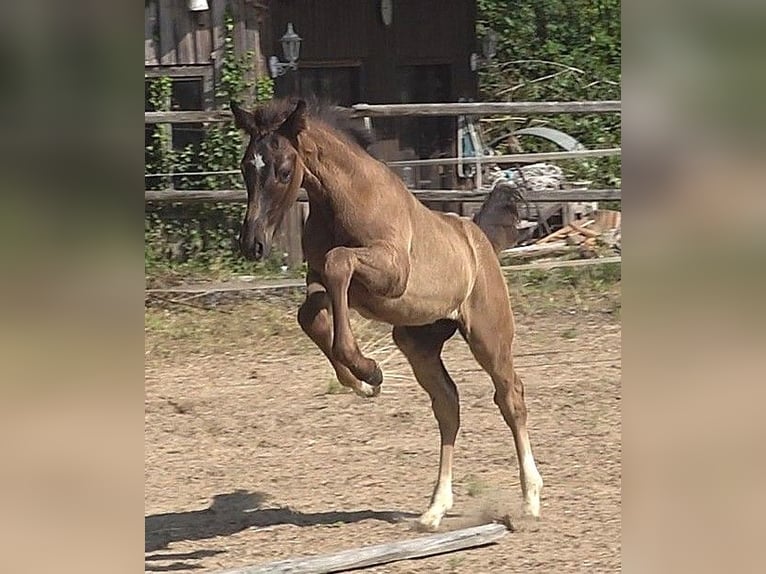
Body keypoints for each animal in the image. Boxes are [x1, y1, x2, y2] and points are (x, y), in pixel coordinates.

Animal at [230, 97, 543, 531]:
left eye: (284, 170)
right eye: (246, 166)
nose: (252, 244)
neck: (347, 199)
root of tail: (478, 239)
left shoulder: (391, 273)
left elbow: (339, 262)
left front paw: (369, 370)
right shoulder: (321, 282)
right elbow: (309, 313)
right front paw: (362, 381)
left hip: (488, 336)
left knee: (511, 397)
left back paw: (530, 499)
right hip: (418, 342)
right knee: (448, 405)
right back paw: (434, 510)